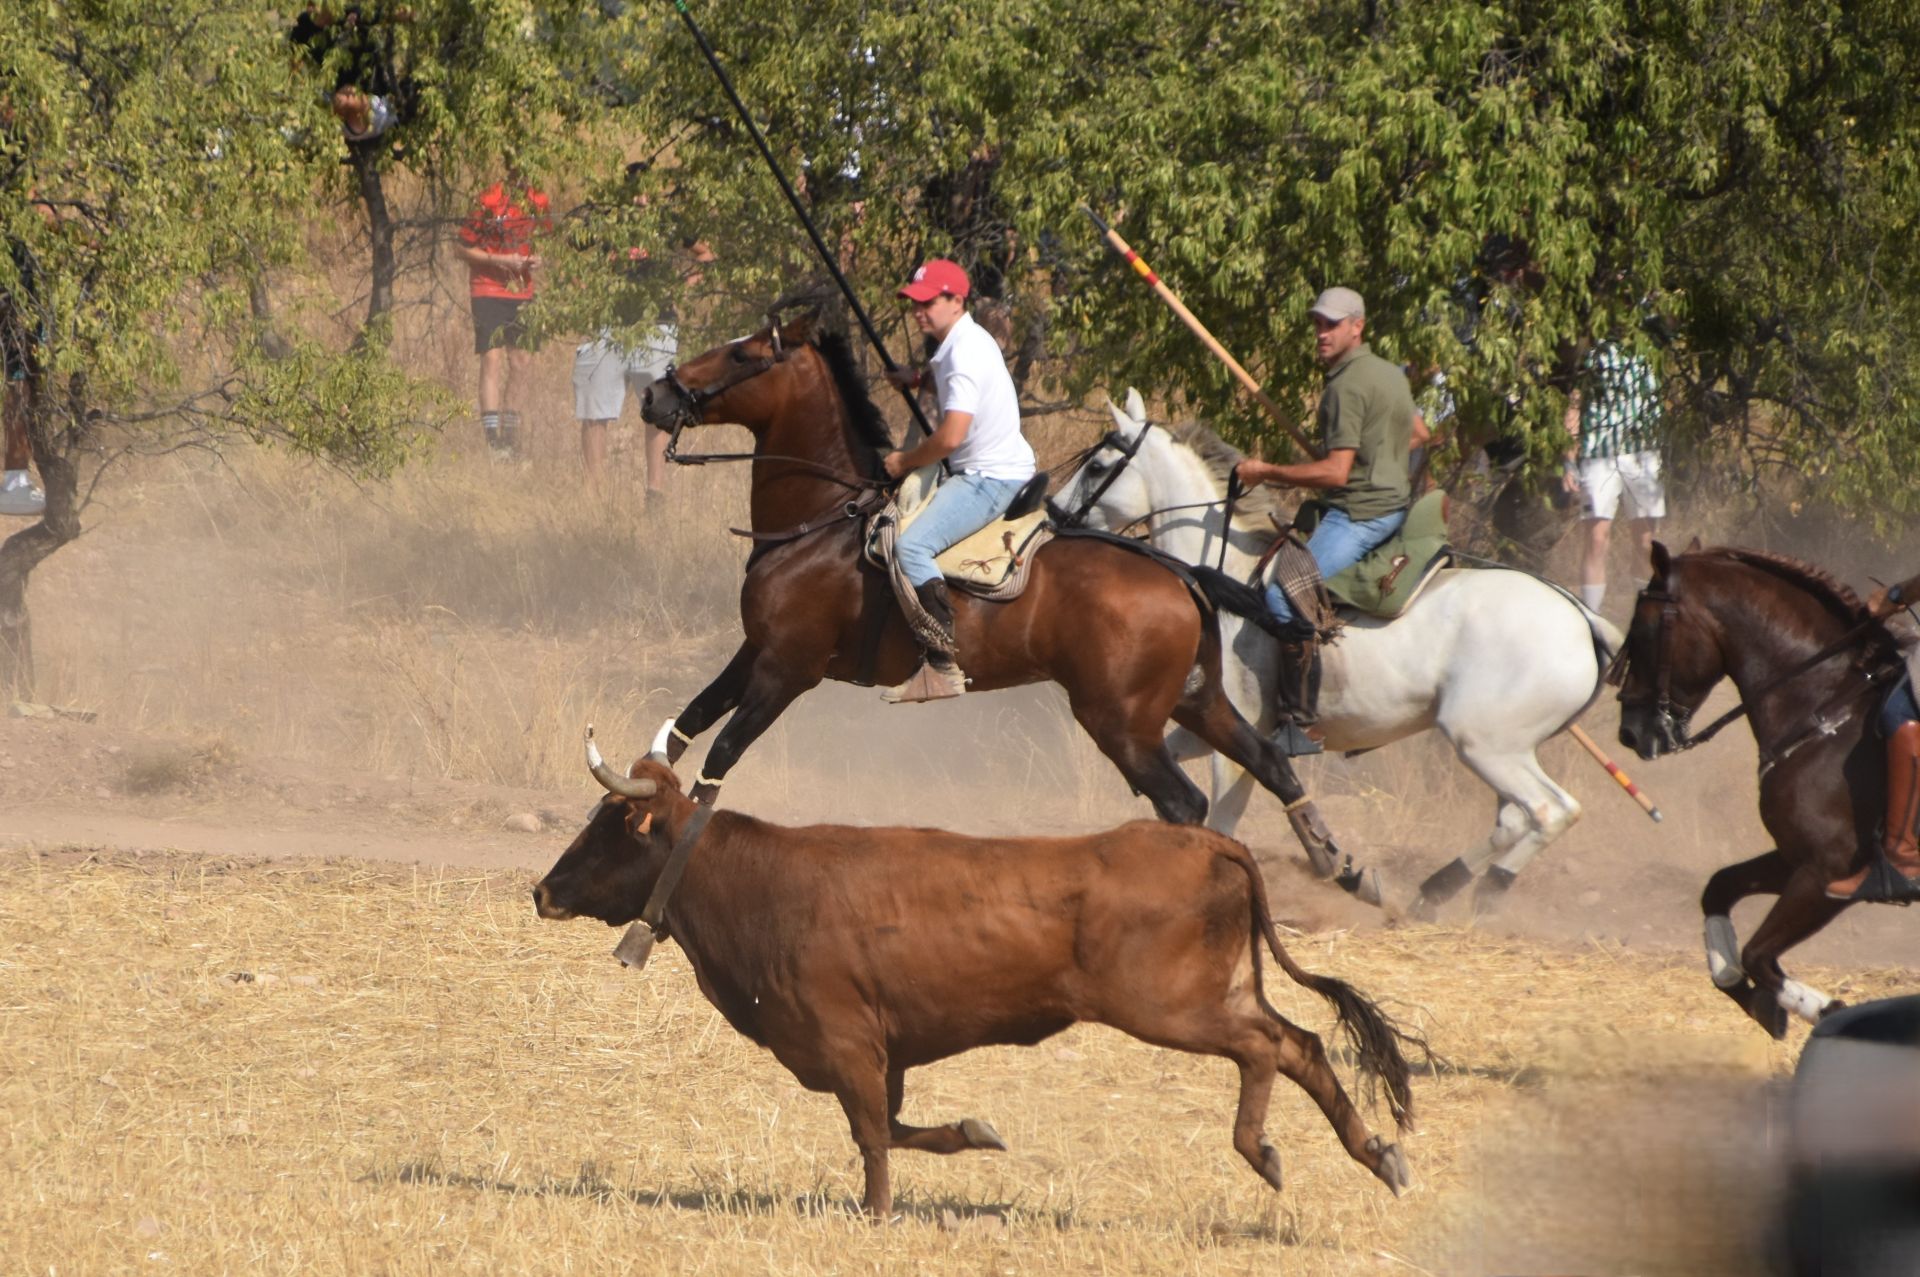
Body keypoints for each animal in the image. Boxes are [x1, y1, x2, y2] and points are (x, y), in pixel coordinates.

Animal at [532, 734, 1419, 1218]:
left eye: (613, 823)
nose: (542, 889)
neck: (758, 882)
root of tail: (1206, 841)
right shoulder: (884, 1052)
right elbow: (894, 1127)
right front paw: (971, 1133)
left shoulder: (849, 1045)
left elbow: (874, 1137)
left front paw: (881, 1211)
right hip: (1221, 989)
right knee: (1301, 1044)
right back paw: (1378, 1154)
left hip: (1174, 1005)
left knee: (1267, 1047)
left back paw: (1263, 1149)